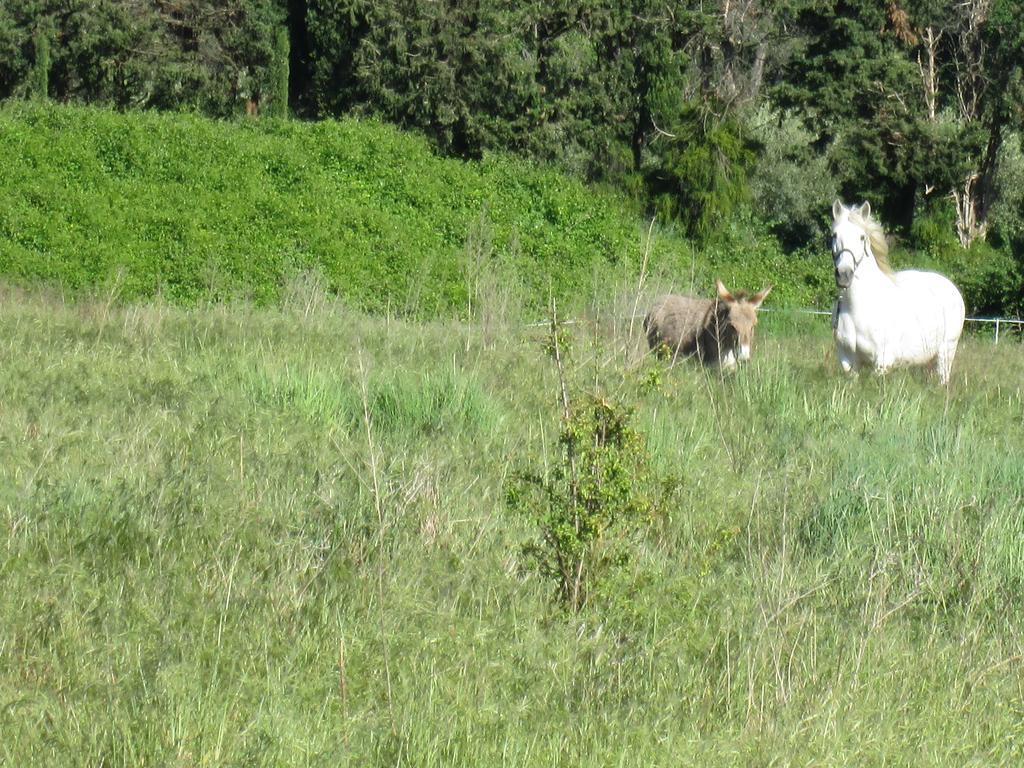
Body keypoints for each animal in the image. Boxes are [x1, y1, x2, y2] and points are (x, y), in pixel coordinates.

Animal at [827, 199, 962, 385]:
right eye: (834, 235)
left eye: (862, 237)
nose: (844, 274)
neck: (857, 308)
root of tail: (951, 287)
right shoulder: (849, 362)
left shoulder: (882, 363)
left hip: (946, 353)